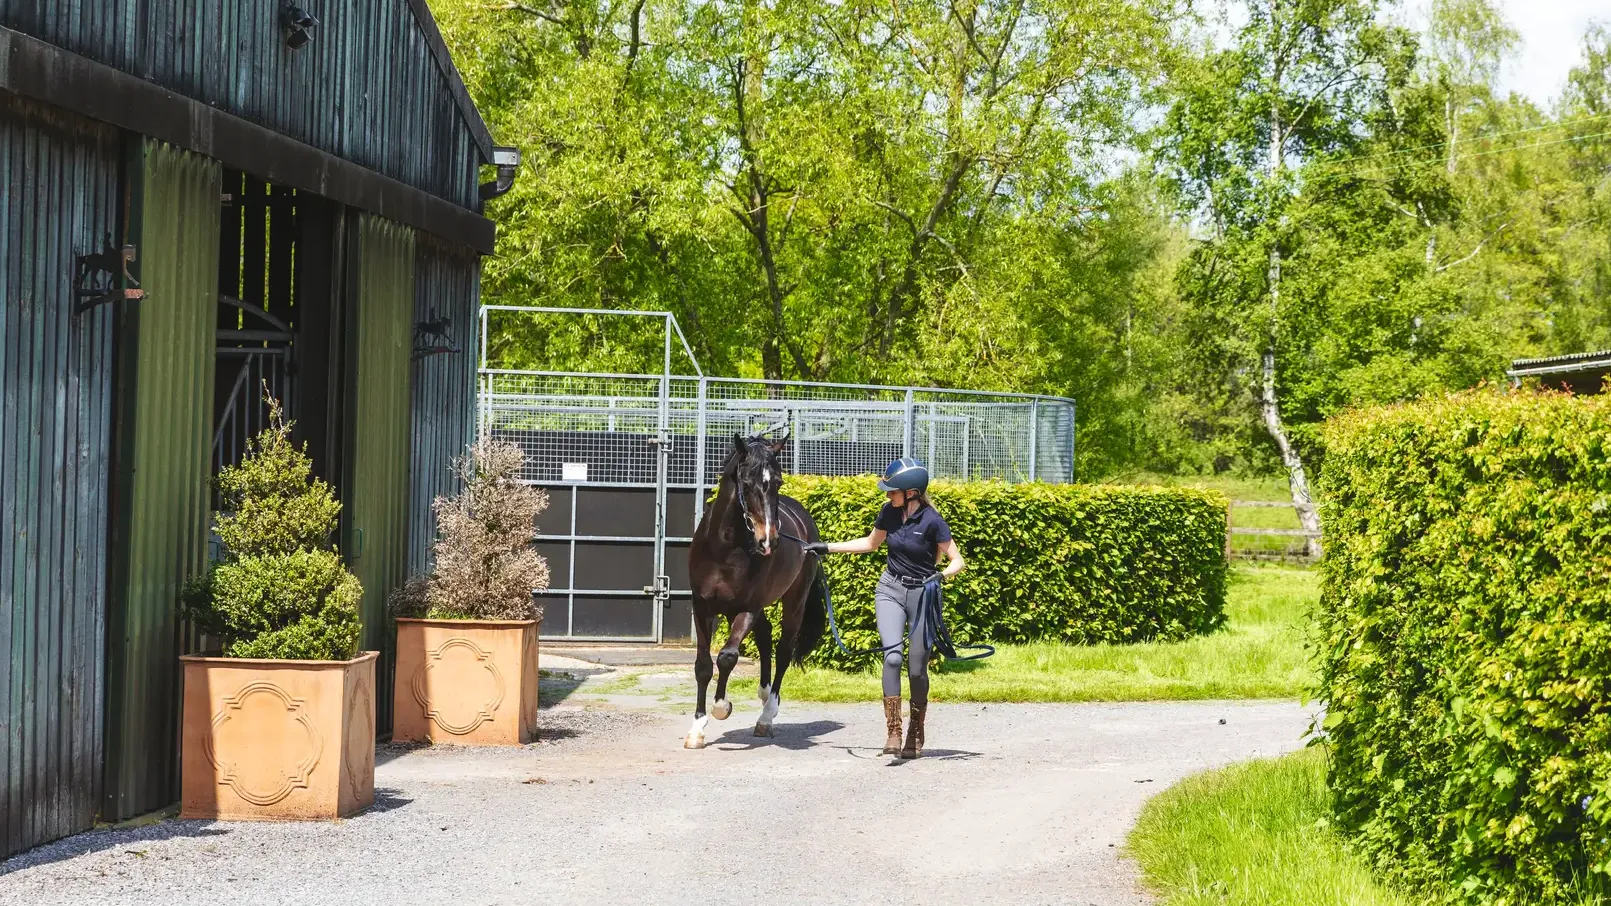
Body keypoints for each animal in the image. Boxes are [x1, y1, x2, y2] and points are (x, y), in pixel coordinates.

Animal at [684, 432, 827, 748]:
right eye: (746, 484)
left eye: (778, 482)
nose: (768, 540)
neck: (724, 549)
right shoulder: (702, 607)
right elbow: (703, 665)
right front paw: (697, 729)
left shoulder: (747, 609)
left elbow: (727, 656)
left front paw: (722, 707)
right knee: (765, 636)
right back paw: (763, 695)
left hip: (793, 603)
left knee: (783, 649)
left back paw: (766, 716)